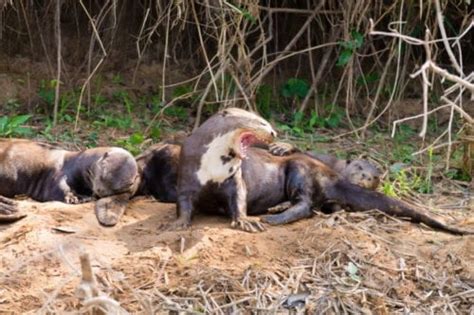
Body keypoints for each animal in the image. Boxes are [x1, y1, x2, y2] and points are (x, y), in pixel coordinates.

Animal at [0, 139, 140, 226]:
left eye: (116, 188)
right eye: (103, 174)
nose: (100, 190)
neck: (78, 161)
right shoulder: (61, 171)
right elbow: (58, 187)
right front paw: (75, 198)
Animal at [136, 142, 470, 236]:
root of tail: (332, 174)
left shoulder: (236, 181)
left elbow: (238, 198)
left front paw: (244, 221)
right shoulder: (186, 185)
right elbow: (184, 204)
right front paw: (177, 223)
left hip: (299, 169)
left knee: (307, 204)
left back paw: (273, 216)